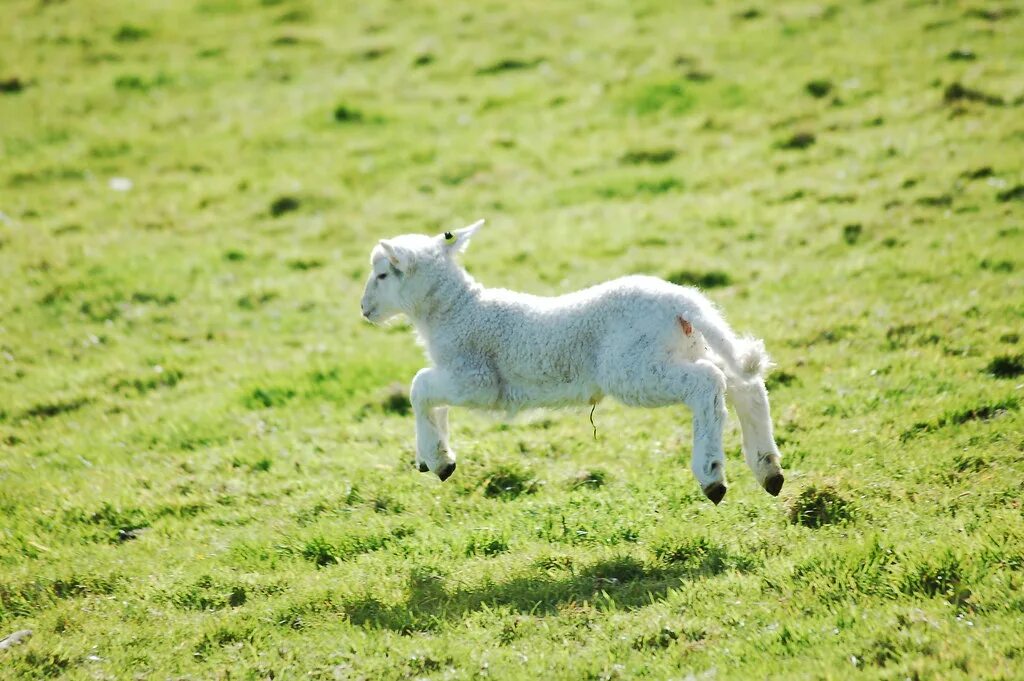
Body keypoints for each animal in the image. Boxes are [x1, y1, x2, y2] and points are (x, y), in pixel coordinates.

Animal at [360, 220, 782, 501]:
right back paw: (768, 469)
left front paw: (436, 459)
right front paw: (434, 457)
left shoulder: (476, 379)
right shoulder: (456, 373)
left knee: (707, 383)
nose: (364, 309)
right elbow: (435, 400)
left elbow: (419, 387)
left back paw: (711, 474)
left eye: (382, 275)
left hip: (634, 368)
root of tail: (683, 301)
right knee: (743, 385)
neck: (457, 310)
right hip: (683, 348)